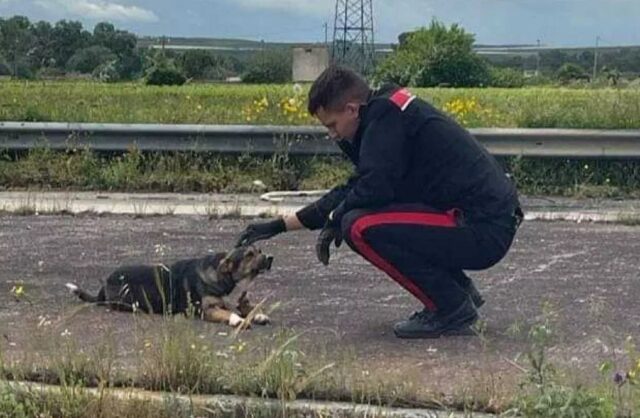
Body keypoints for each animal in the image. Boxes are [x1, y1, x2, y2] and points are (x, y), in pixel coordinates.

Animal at [64, 247, 272, 328]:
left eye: (260, 251)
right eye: (249, 254)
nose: (270, 257)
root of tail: (106, 283)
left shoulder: (241, 300)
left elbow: (251, 307)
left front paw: (258, 315)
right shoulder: (206, 310)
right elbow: (228, 312)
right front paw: (238, 319)